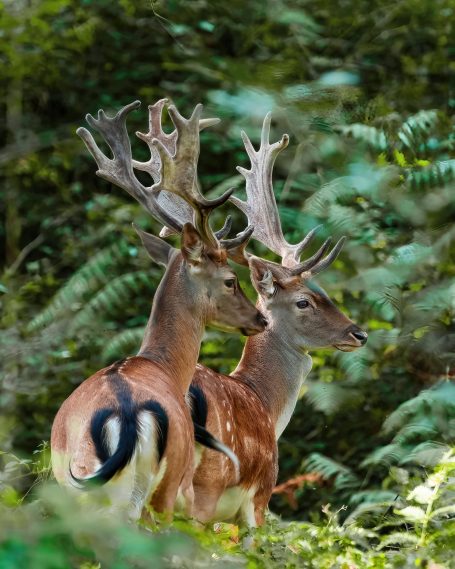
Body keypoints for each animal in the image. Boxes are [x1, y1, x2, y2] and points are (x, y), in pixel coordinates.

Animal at [50, 101, 268, 520]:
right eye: (231, 280)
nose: (261, 319)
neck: (164, 365)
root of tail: (127, 414)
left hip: (78, 481)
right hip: (160, 485)